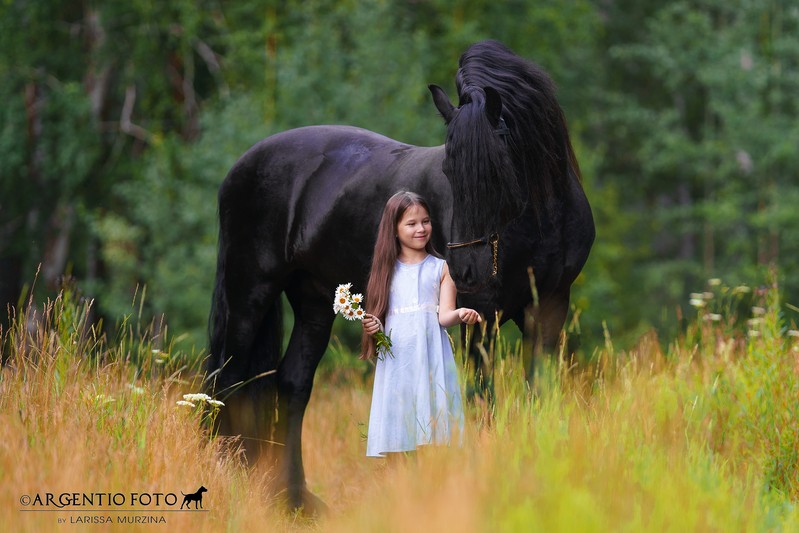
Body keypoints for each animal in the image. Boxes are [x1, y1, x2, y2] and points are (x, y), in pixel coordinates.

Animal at [206, 39, 592, 512]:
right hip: (249, 291)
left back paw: (296, 501)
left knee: (292, 384)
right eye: (448, 172)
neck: (540, 220)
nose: (464, 269)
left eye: (496, 171)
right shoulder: (481, 317)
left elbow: (540, 391)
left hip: (315, 301)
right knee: (225, 382)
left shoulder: (550, 308)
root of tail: (241, 165)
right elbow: (483, 398)